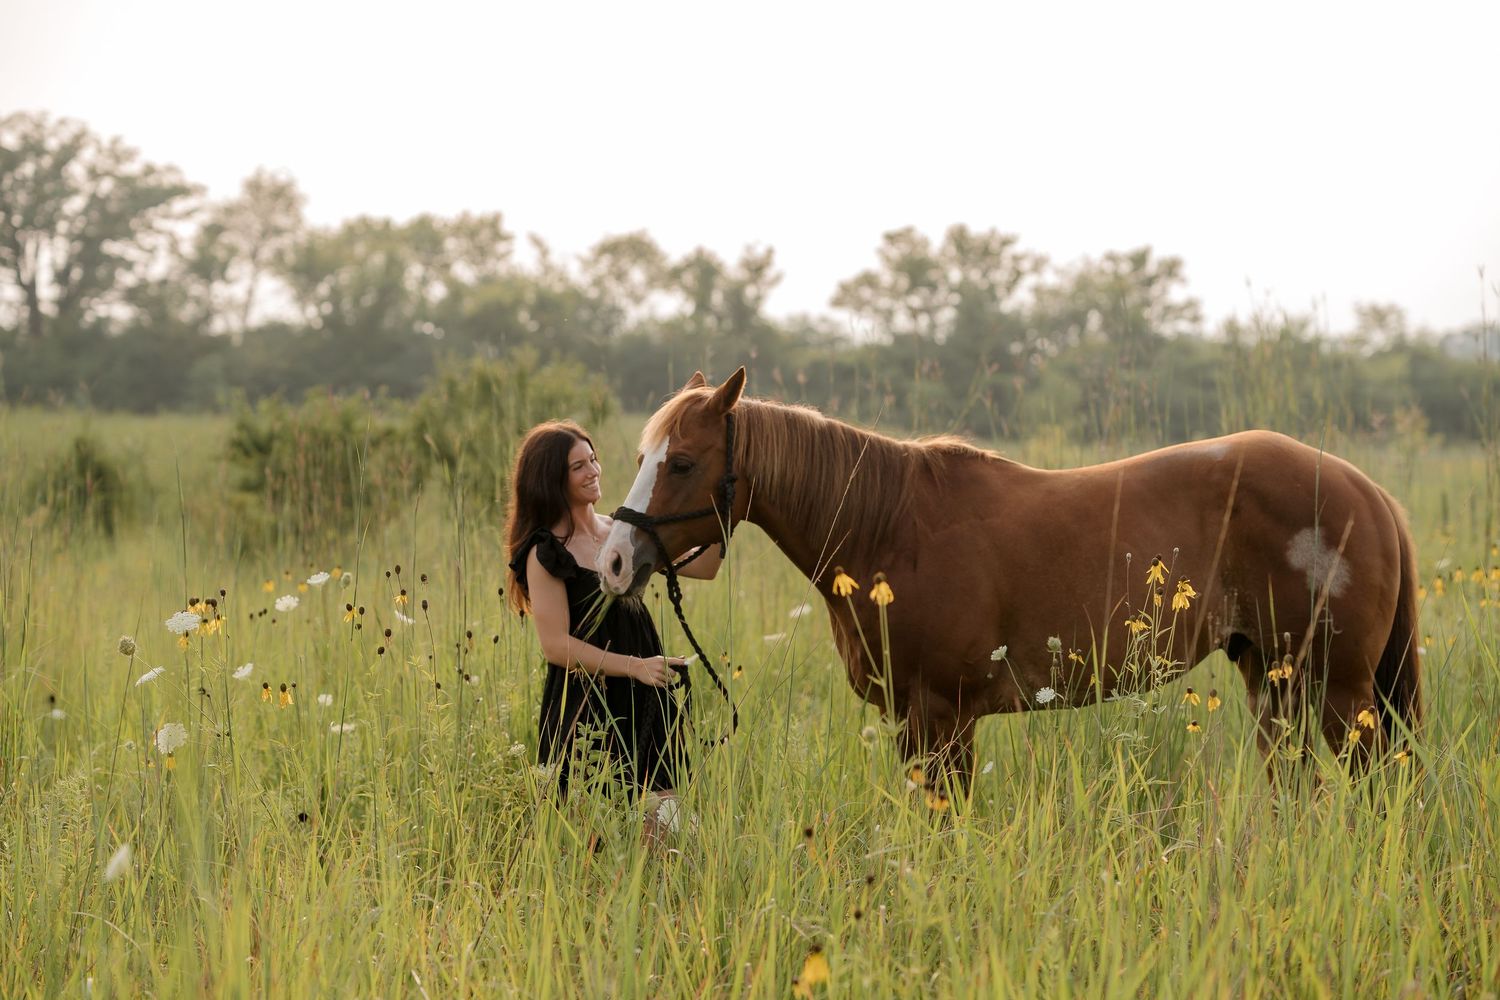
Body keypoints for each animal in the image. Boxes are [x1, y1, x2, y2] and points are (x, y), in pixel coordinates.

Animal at [598, 368, 1423, 789]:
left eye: (681, 461)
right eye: (642, 456)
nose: (614, 561)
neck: (888, 529)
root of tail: (1368, 491)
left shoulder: (944, 720)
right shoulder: (911, 723)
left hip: (1341, 694)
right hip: (1275, 681)